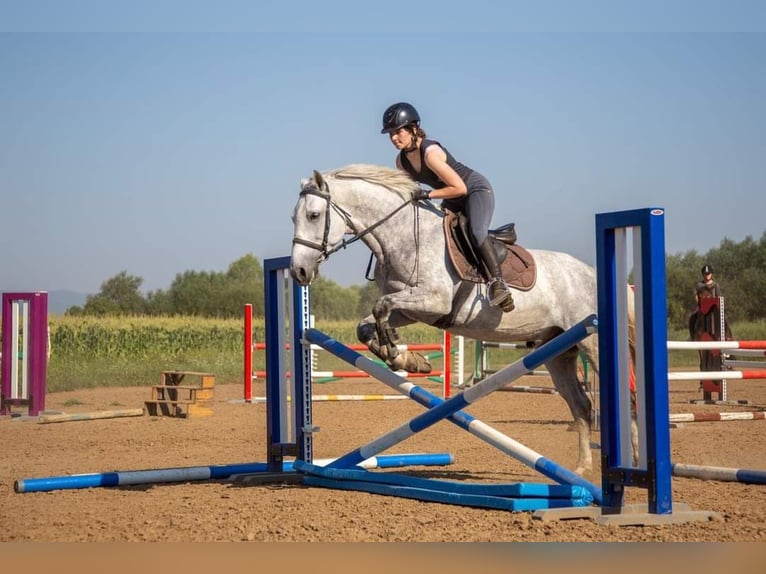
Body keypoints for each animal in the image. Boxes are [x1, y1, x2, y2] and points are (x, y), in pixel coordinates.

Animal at [290, 164, 636, 474]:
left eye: (314, 215)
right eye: (294, 217)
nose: (299, 272)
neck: (402, 236)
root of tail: (591, 272)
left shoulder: (433, 301)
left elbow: (380, 308)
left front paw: (398, 352)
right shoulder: (412, 309)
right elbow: (367, 326)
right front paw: (408, 361)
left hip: (593, 342)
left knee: (627, 398)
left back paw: (630, 464)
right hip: (559, 350)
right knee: (581, 405)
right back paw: (582, 468)